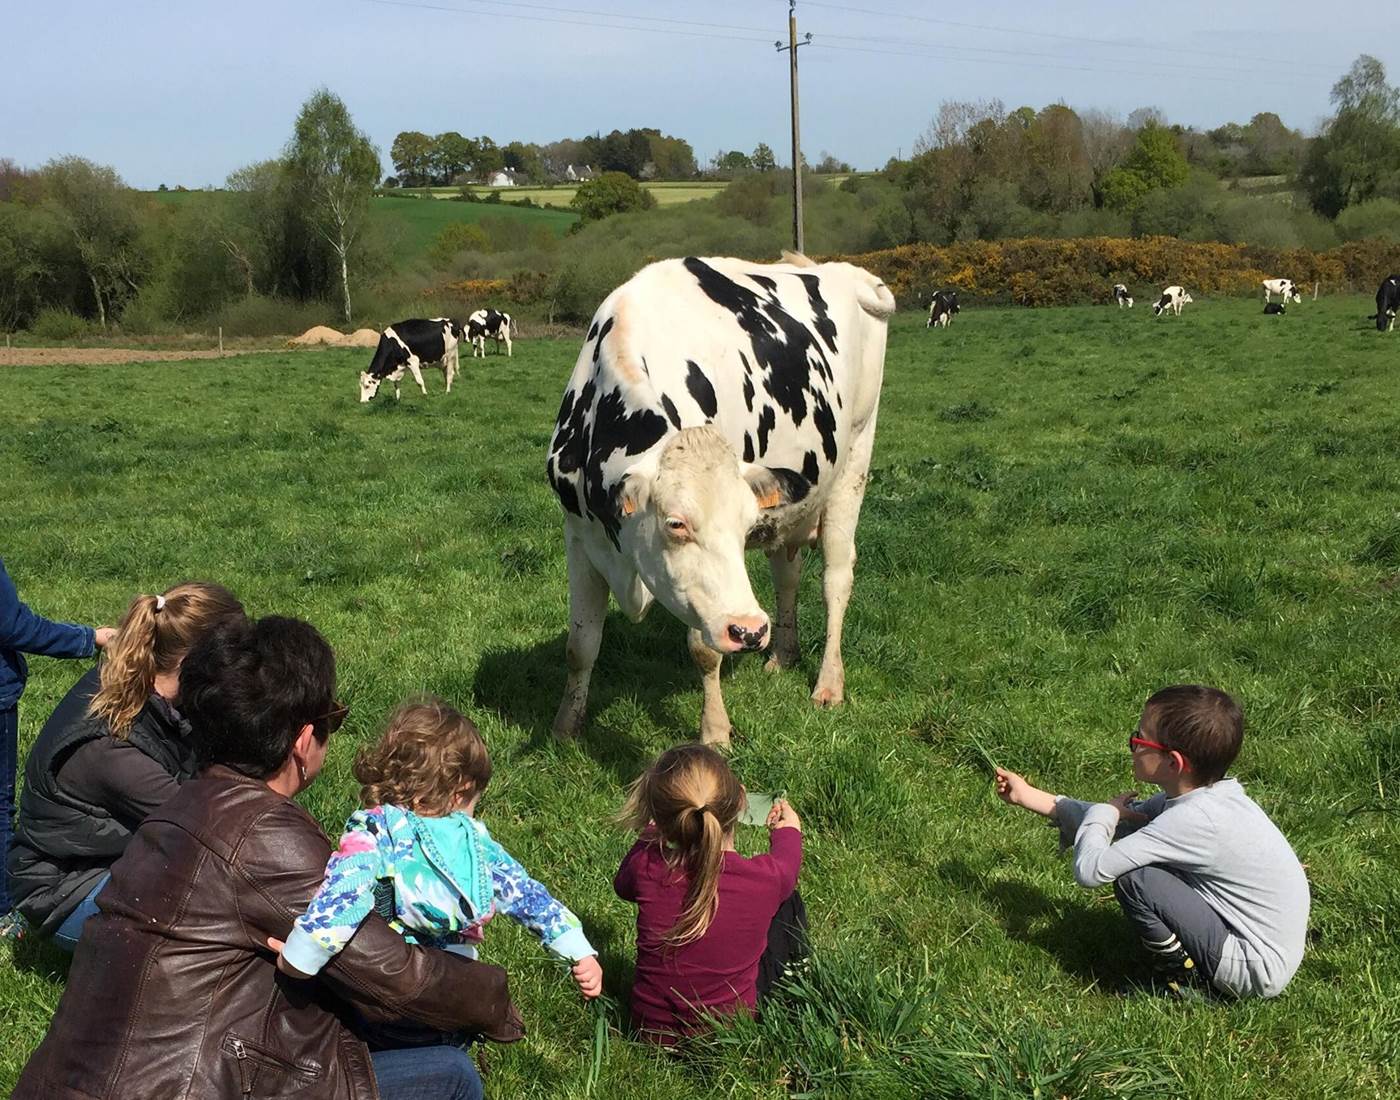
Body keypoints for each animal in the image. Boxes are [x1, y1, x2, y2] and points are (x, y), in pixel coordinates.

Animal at [545, 254, 896, 744]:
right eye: (676, 523)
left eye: (744, 526)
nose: (751, 630)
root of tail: (840, 269)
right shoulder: (579, 536)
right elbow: (580, 645)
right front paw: (565, 728)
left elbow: (704, 649)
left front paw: (714, 731)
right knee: (786, 575)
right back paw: (782, 654)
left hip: (856, 458)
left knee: (836, 578)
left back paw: (828, 683)